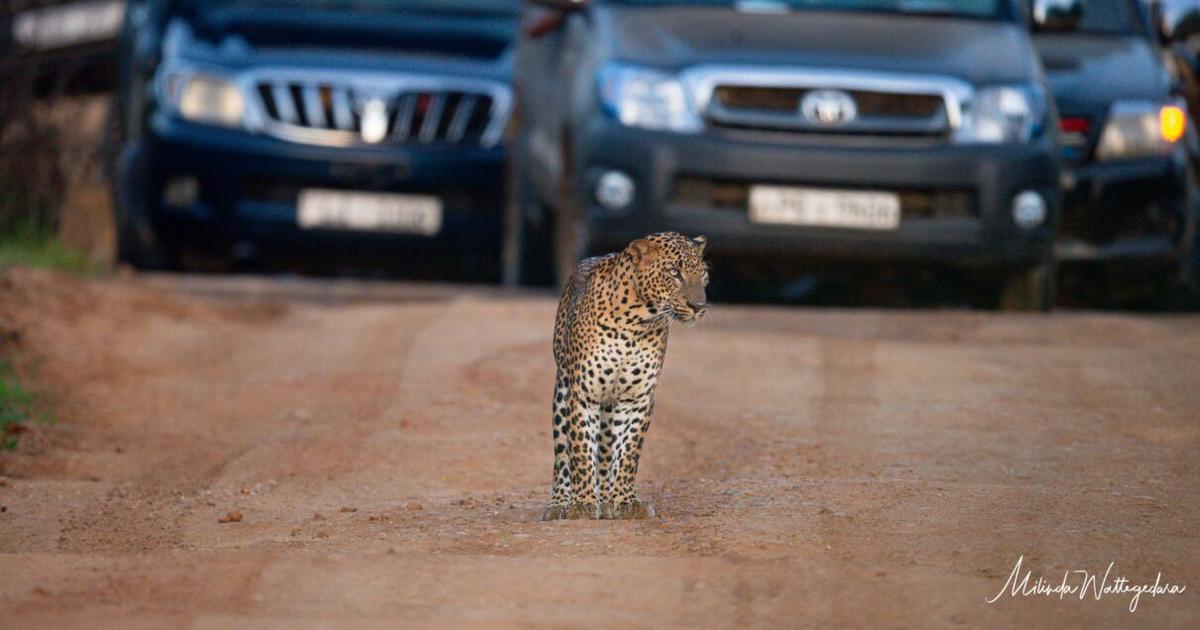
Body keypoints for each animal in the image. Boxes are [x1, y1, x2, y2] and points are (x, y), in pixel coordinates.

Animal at [542, 232, 709, 521]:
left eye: (704, 274)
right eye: (674, 272)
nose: (698, 306)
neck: (637, 321)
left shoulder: (637, 398)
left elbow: (628, 452)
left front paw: (625, 500)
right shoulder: (583, 393)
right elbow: (581, 449)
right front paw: (582, 503)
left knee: (606, 448)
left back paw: (607, 500)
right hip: (562, 391)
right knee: (563, 453)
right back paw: (560, 503)